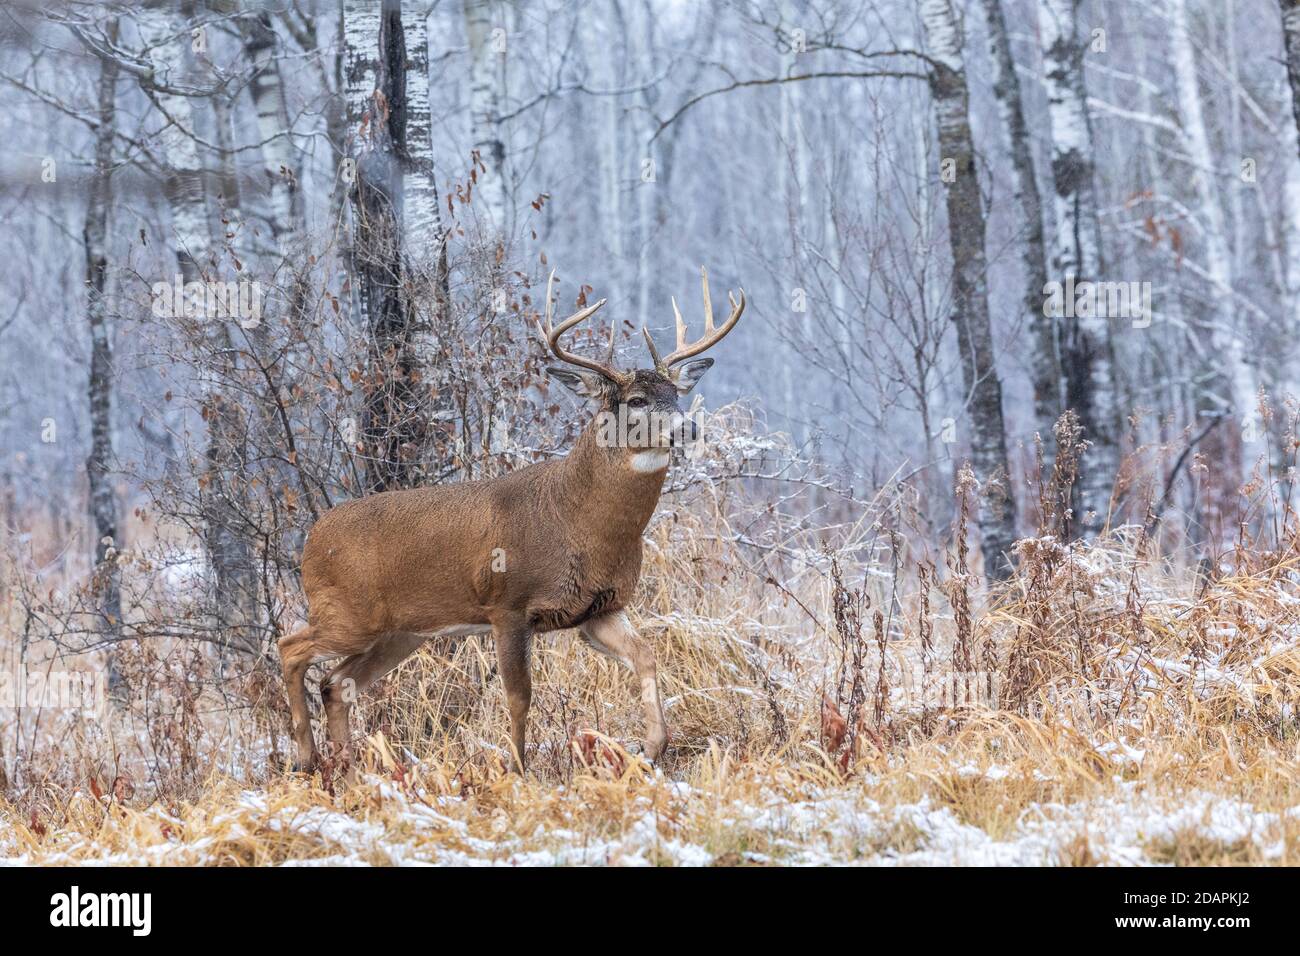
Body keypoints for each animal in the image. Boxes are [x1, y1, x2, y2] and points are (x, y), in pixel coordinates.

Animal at [279, 265, 748, 775]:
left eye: (678, 393)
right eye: (638, 399)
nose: (688, 428)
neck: (576, 521)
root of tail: (311, 539)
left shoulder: (599, 608)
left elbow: (647, 655)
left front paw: (652, 748)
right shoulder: (507, 605)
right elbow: (519, 696)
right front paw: (518, 770)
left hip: (399, 632)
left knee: (335, 684)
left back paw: (343, 769)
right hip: (346, 613)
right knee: (291, 649)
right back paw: (305, 756)